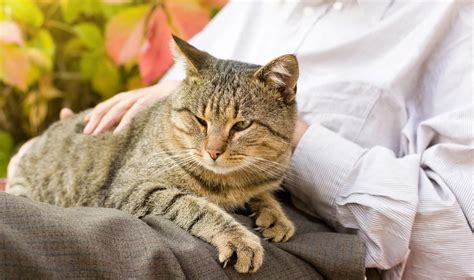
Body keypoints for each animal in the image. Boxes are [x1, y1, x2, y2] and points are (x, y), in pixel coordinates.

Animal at [7, 35, 298, 274]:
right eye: (200, 120)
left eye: (241, 125)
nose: (213, 151)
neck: (232, 181)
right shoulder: (132, 188)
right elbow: (195, 206)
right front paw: (239, 238)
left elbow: (264, 194)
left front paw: (275, 216)